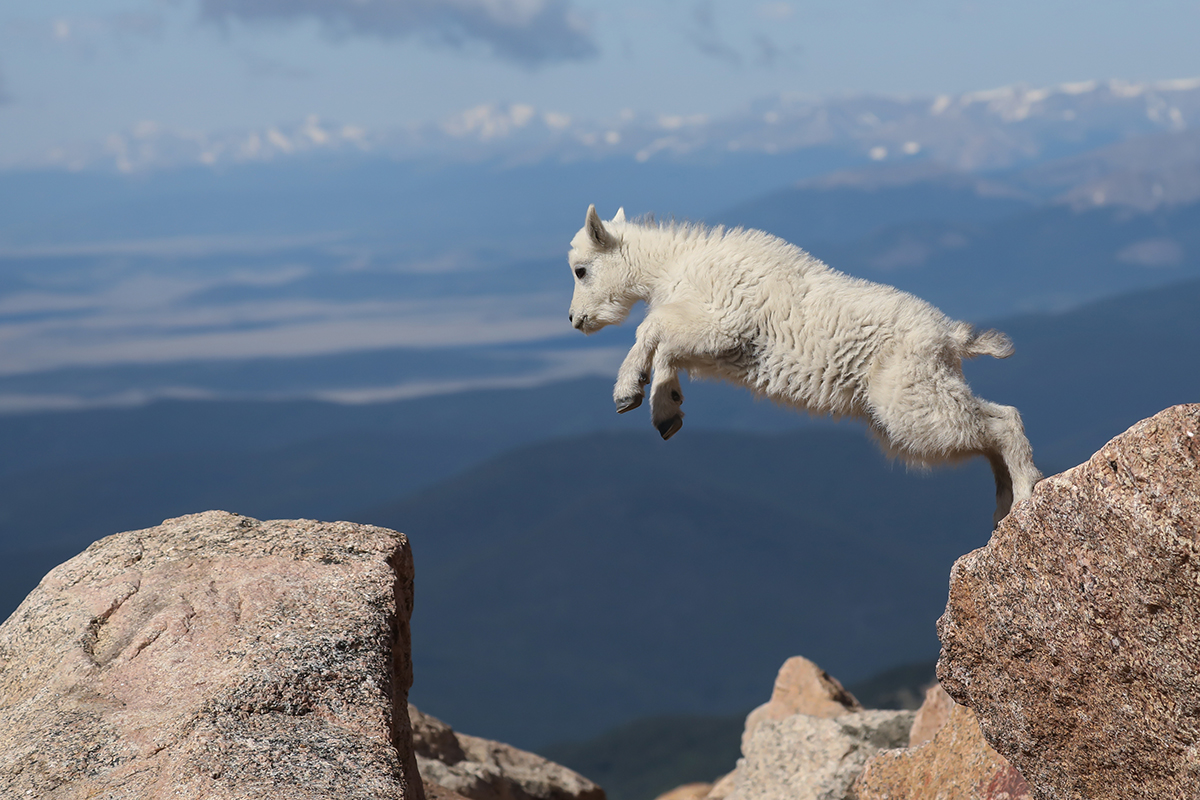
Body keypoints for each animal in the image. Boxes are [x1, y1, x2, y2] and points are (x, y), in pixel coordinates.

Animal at [564, 205, 1041, 525]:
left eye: (581, 270)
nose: (574, 320)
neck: (671, 266)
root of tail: (949, 338)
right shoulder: (709, 348)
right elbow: (665, 350)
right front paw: (667, 409)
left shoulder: (720, 327)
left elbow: (652, 329)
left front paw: (629, 391)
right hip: (921, 394)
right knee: (991, 425)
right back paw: (1002, 510)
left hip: (909, 403)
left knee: (999, 422)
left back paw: (1023, 497)